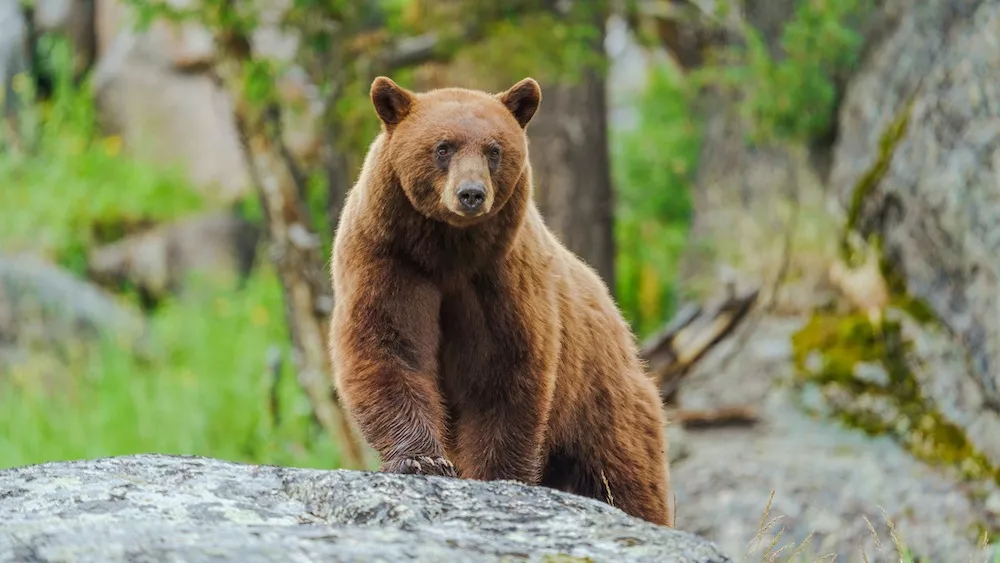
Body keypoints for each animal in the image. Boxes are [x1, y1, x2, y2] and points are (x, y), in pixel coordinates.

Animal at [328, 75, 674, 527]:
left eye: (494, 150)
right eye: (443, 147)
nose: (471, 194)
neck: (447, 250)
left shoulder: (501, 279)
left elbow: (502, 372)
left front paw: (496, 474)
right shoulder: (389, 259)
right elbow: (388, 346)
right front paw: (422, 460)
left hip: (603, 403)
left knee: (624, 477)